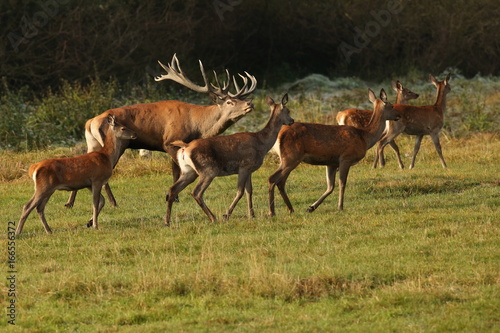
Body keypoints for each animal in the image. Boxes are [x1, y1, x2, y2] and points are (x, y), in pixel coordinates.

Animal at [64, 54, 256, 209]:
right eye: (230, 102)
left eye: (241, 99)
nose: (250, 104)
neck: (197, 125)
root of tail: (90, 122)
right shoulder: (169, 140)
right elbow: (178, 169)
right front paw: (173, 196)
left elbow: (175, 170)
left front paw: (175, 197)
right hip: (115, 142)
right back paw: (113, 202)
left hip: (92, 143)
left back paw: (69, 203)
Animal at [166, 93, 294, 226]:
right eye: (288, 110)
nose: (292, 121)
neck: (261, 143)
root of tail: (185, 147)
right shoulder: (244, 166)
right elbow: (240, 191)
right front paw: (227, 215)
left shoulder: (249, 170)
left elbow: (249, 191)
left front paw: (251, 214)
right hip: (208, 170)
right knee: (196, 192)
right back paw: (213, 217)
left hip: (188, 171)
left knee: (172, 189)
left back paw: (167, 222)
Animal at [270, 88, 398, 215]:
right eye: (391, 105)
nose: (399, 116)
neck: (364, 137)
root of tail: (279, 134)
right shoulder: (346, 158)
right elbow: (342, 184)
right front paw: (340, 207)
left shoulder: (331, 163)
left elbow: (330, 187)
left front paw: (311, 207)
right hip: (291, 156)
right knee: (273, 178)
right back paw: (272, 212)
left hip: (288, 158)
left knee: (281, 182)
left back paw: (290, 209)